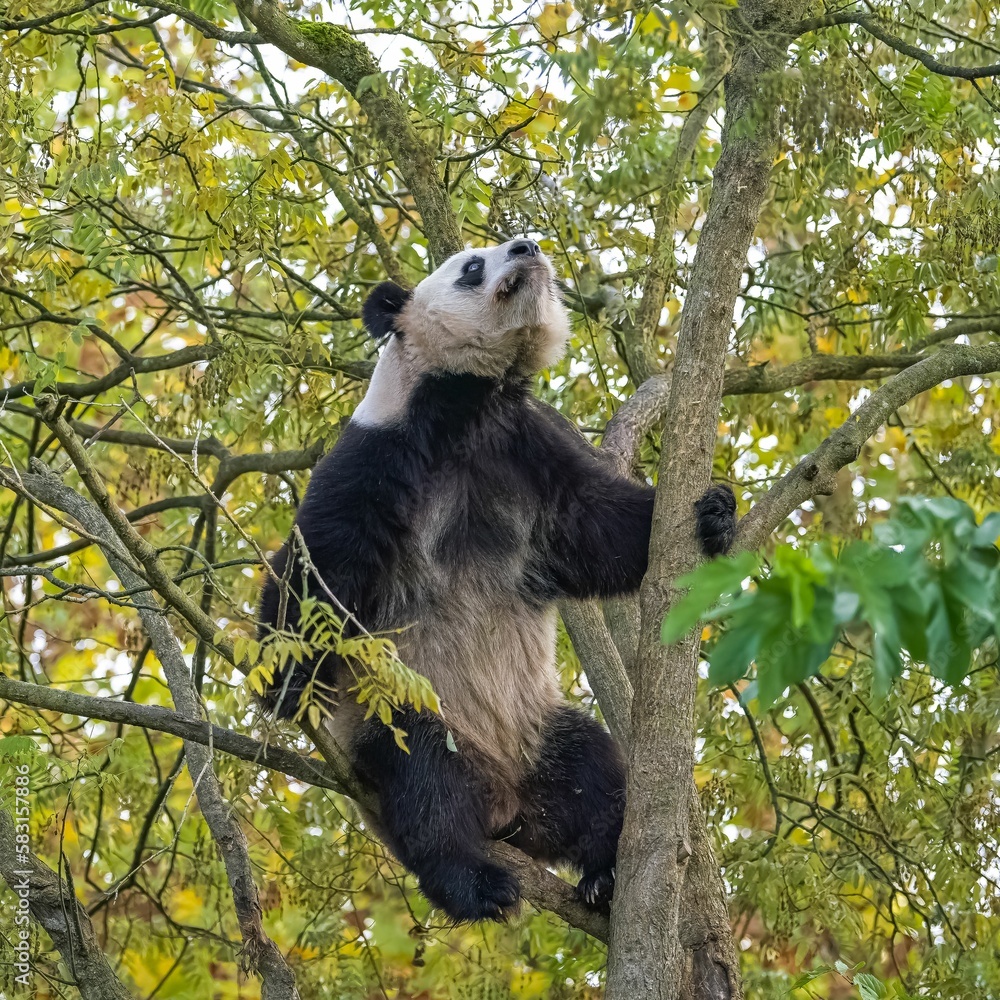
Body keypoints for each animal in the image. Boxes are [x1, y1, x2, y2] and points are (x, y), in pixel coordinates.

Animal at [258, 238, 736, 922]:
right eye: (471, 266)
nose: (527, 246)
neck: (469, 410)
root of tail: (508, 809)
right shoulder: (379, 455)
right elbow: (319, 564)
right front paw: (285, 680)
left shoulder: (528, 449)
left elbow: (596, 527)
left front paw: (714, 512)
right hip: (401, 711)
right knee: (424, 785)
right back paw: (476, 883)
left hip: (540, 726)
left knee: (593, 770)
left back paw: (606, 873)